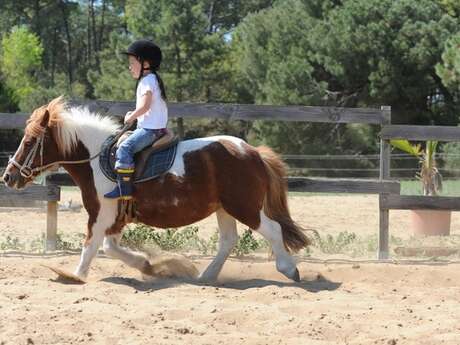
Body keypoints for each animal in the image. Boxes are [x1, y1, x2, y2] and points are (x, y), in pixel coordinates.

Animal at [1, 97, 310, 282]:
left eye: (29, 142)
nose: (8, 176)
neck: (97, 158)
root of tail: (252, 152)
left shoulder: (101, 214)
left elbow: (90, 248)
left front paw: (75, 276)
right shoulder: (116, 218)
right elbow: (110, 247)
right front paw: (148, 265)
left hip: (244, 207)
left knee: (273, 230)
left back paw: (289, 269)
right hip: (224, 208)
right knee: (228, 240)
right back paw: (205, 276)